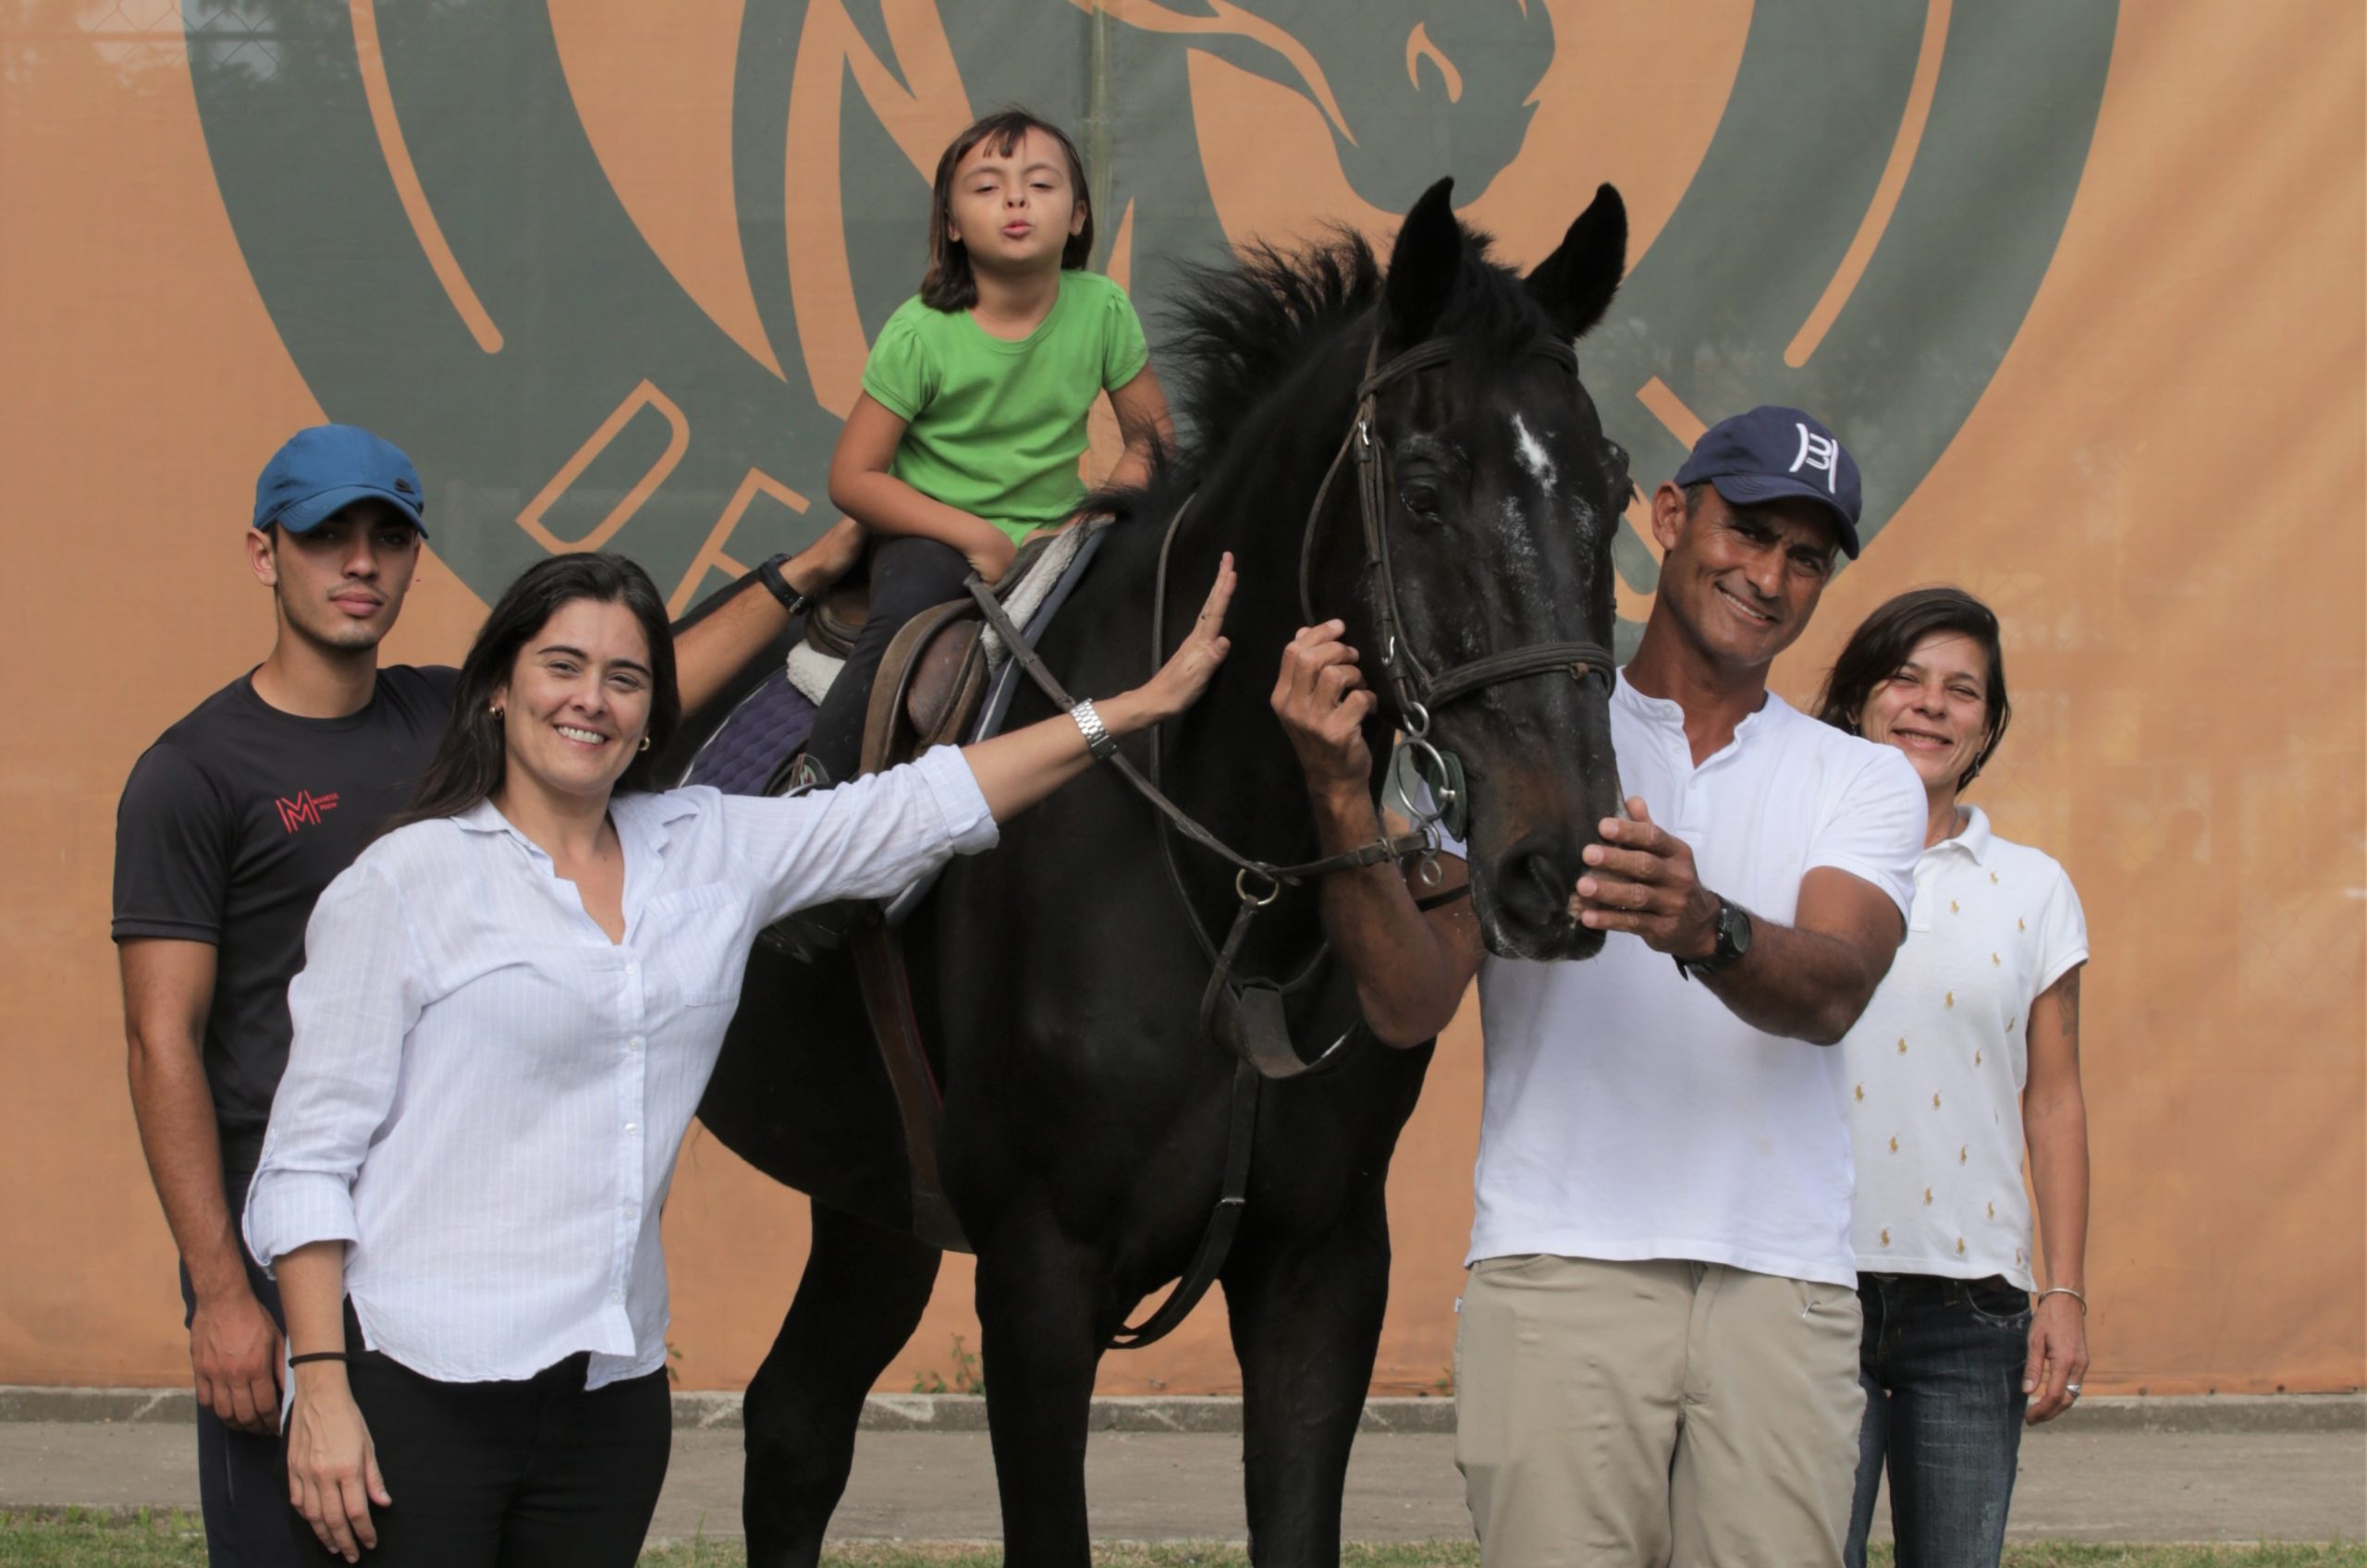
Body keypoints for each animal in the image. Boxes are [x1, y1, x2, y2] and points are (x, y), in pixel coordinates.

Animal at [691, 180, 1628, 1568]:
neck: (1227, 881)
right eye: (1421, 492)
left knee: (794, 1428)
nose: (1557, 859)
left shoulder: (1322, 1268)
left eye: (1610, 491)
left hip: (869, 1191)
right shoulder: (1038, 1275)